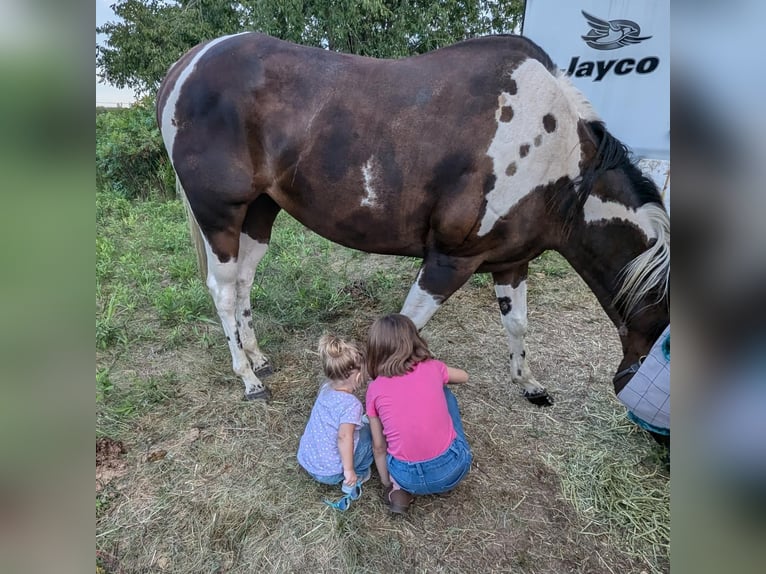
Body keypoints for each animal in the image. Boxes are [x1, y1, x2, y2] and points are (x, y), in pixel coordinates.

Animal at [156, 32, 670, 438]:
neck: (554, 158)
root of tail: (187, 65)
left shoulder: (511, 261)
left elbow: (518, 324)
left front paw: (529, 384)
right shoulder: (449, 261)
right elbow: (406, 327)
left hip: (260, 212)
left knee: (244, 280)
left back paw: (257, 356)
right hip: (220, 214)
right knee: (223, 291)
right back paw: (248, 378)